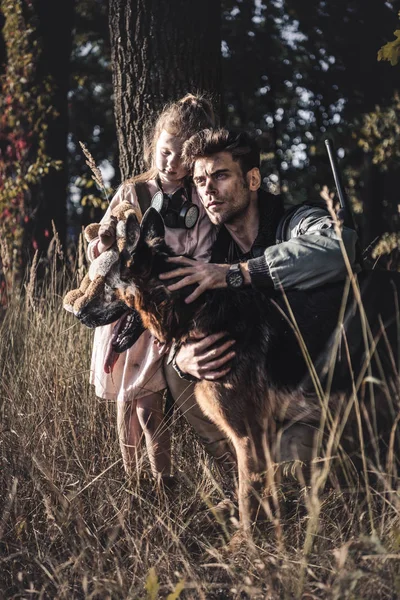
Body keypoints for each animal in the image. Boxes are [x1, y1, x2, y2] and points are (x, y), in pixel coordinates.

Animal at [115, 209, 400, 528]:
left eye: (107, 279)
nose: (85, 314)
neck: (193, 307)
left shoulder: (248, 437)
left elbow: (247, 499)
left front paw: (245, 540)